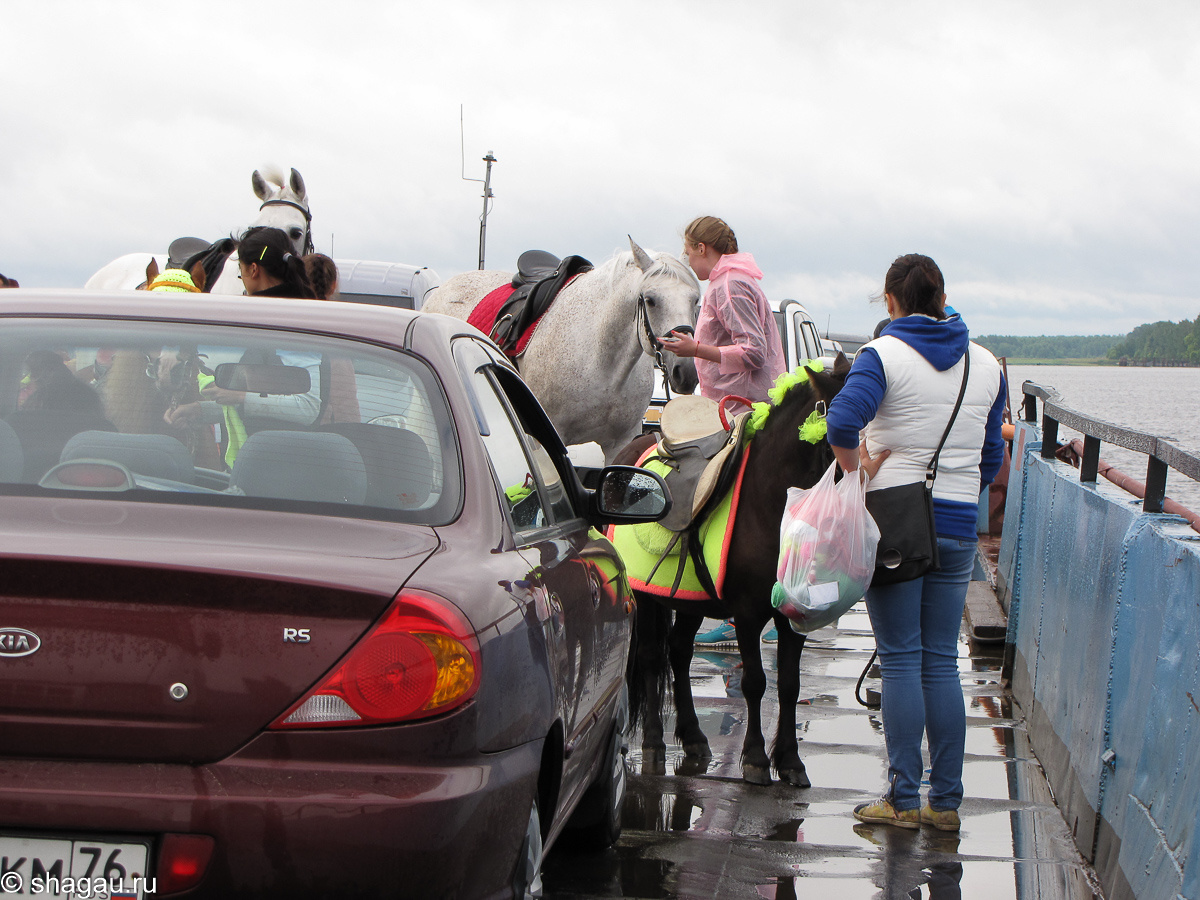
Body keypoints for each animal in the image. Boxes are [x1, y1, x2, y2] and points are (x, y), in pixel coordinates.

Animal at [424, 240, 700, 465]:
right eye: (651, 300)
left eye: (695, 301)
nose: (685, 373)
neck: (601, 360)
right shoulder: (554, 436)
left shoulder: (621, 442)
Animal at [624, 355, 849, 787]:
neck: (770, 501)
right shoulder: (746, 613)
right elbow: (755, 682)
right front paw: (757, 758)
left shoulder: (792, 616)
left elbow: (789, 684)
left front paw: (790, 761)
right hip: (646, 597)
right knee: (650, 656)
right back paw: (655, 743)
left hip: (690, 598)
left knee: (679, 651)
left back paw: (694, 737)